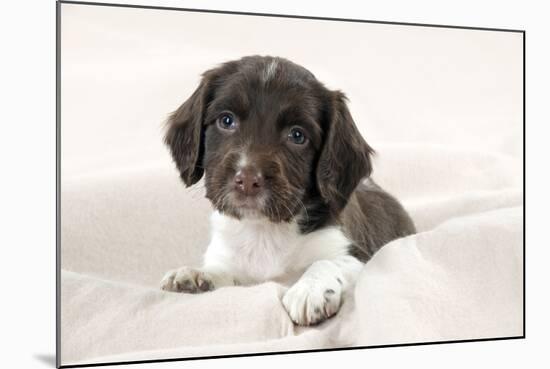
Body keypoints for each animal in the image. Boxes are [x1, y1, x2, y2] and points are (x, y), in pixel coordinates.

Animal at [162, 55, 416, 324]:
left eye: (297, 135)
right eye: (226, 121)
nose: (247, 179)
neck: (263, 231)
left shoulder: (360, 255)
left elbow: (328, 262)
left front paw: (310, 289)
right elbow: (221, 270)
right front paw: (195, 274)